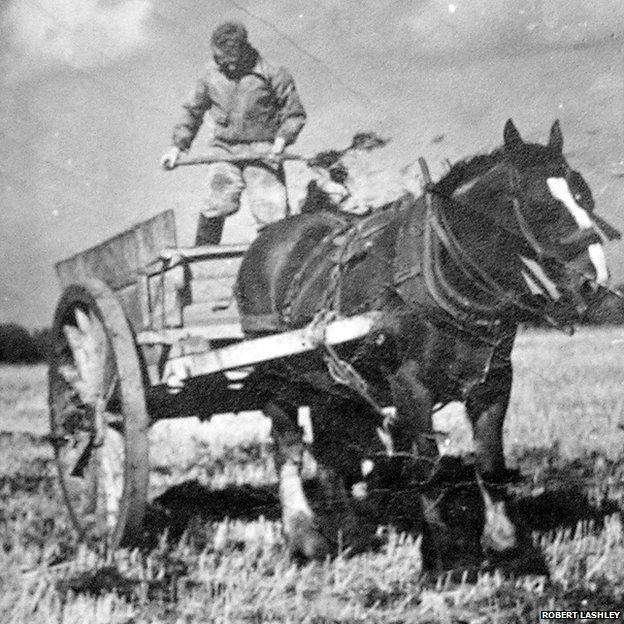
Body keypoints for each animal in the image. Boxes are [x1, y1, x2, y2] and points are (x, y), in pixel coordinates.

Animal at [235, 120, 616, 564]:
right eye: (540, 206)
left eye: (584, 195)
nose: (594, 282)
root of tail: (268, 238)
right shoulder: (410, 385)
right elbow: (427, 466)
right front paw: (445, 552)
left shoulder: (494, 381)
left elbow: (490, 463)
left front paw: (503, 541)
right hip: (277, 372)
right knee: (289, 447)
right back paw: (304, 535)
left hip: (330, 382)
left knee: (333, 450)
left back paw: (349, 532)